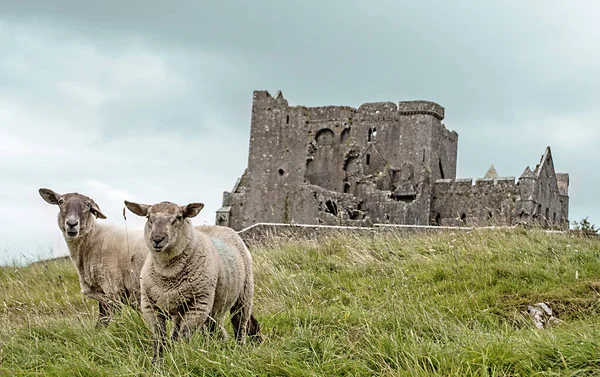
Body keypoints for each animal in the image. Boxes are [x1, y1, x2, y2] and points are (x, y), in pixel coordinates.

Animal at [38, 188, 149, 326]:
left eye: (88, 205)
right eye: (61, 201)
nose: (72, 224)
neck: (93, 238)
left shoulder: (113, 289)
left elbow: (107, 320)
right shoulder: (103, 293)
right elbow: (101, 322)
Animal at [124, 198, 258, 360]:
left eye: (178, 217)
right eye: (148, 217)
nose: (157, 239)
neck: (167, 273)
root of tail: (221, 227)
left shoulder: (198, 304)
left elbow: (185, 336)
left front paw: (181, 358)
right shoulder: (150, 306)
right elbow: (159, 337)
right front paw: (157, 361)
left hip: (244, 296)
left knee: (239, 325)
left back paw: (239, 349)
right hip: (206, 306)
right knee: (211, 328)